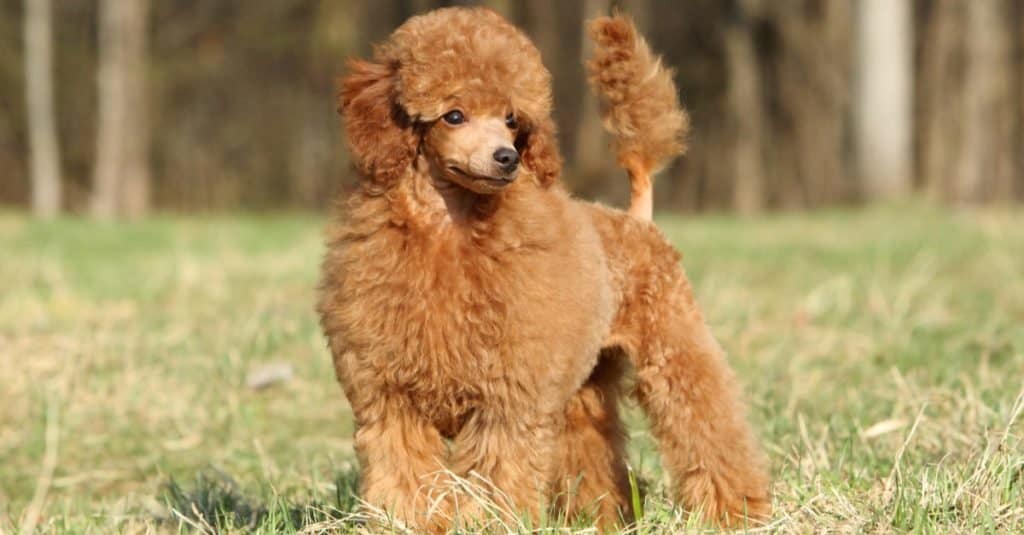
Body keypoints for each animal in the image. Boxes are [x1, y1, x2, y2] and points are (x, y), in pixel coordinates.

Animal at [315, 7, 770, 528]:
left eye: (512, 119)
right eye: (454, 115)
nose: (507, 158)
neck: (449, 228)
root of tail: (635, 219)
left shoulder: (508, 398)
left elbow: (497, 474)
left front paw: (489, 524)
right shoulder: (390, 397)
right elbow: (403, 474)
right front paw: (410, 523)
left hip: (673, 345)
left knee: (708, 424)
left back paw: (736, 513)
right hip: (584, 385)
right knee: (593, 452)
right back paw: (599, 519)